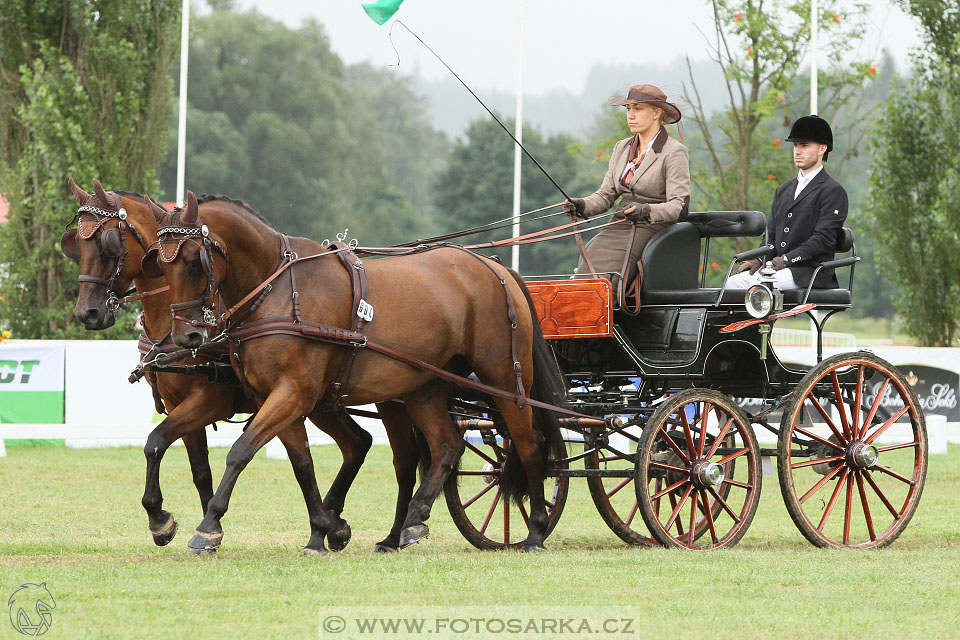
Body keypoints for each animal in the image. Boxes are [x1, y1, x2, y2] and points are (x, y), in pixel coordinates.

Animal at [62, 181, 390, 556]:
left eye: (108, 245)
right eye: (76, 244)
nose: (87, 313)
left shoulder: (209, 400)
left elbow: (156, 440)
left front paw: (175, 521)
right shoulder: (178, 403)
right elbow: (187, 462)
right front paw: (191, 523)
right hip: (324, 401)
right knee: (358, 443)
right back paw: (335, 523)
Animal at [154, 192, 568, 552]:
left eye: (193, 260)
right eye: (160, 263)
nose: (187, 335)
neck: (278, 290)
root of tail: (497, 268)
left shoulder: (292, 393)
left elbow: (240, 451)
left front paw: (208, 527)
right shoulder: (276, 396)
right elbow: (301, 464)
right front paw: (320, 531)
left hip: (504, 379)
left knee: (529, 444)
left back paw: (534, 531)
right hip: (424, 388)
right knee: (443, 448)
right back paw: (411, 522)